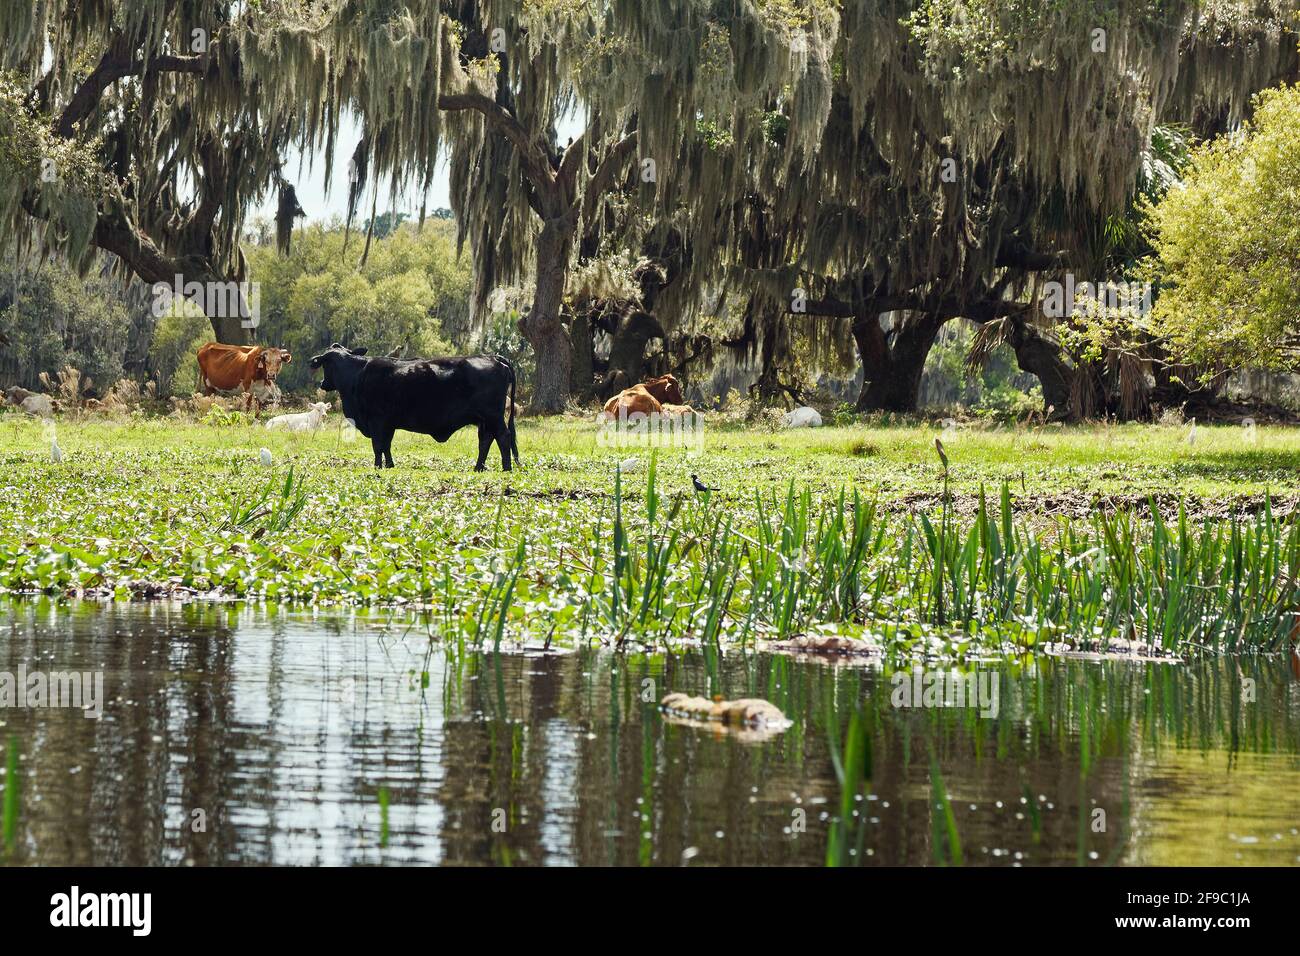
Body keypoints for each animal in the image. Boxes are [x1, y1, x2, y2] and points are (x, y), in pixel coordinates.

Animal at [309, 343, 520, 471]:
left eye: (325, 363)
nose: (322, 383)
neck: (358, 374)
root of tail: (493, 357)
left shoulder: (377, 420)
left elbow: (378, 446)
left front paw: (377, 466)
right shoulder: (388, 423)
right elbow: (386, 445)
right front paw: (390, 465)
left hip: (493, 416)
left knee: (503, 437)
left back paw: (506, 468)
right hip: (484, 420)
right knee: (486, 440)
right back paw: (478, 468)